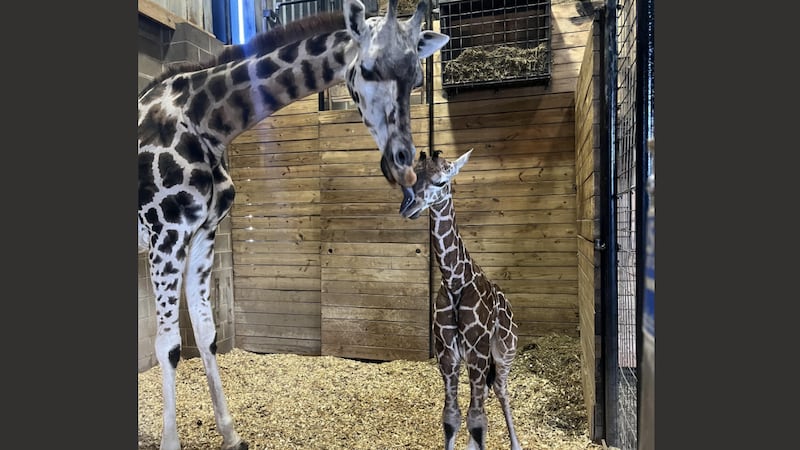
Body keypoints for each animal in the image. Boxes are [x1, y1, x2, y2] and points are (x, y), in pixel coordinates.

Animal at [139, 1, 450, 448]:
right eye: (368, 68)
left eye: (418, 77)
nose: (403, 162)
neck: (207, 123)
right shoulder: (166, 233)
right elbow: (168, 343)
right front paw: (170, 443)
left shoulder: (202, 232)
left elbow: (205, 331)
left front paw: (231, 434)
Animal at [400, 150, 524, 450]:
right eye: (411, 177)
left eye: (442, 181)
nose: (407, 208)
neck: (454, 280)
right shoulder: (447, 355)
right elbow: (452, 416)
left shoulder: (478, 352)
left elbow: (477, 419)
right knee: (485, 397)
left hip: (505, 352)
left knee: (500, 390)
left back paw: (516, 444)